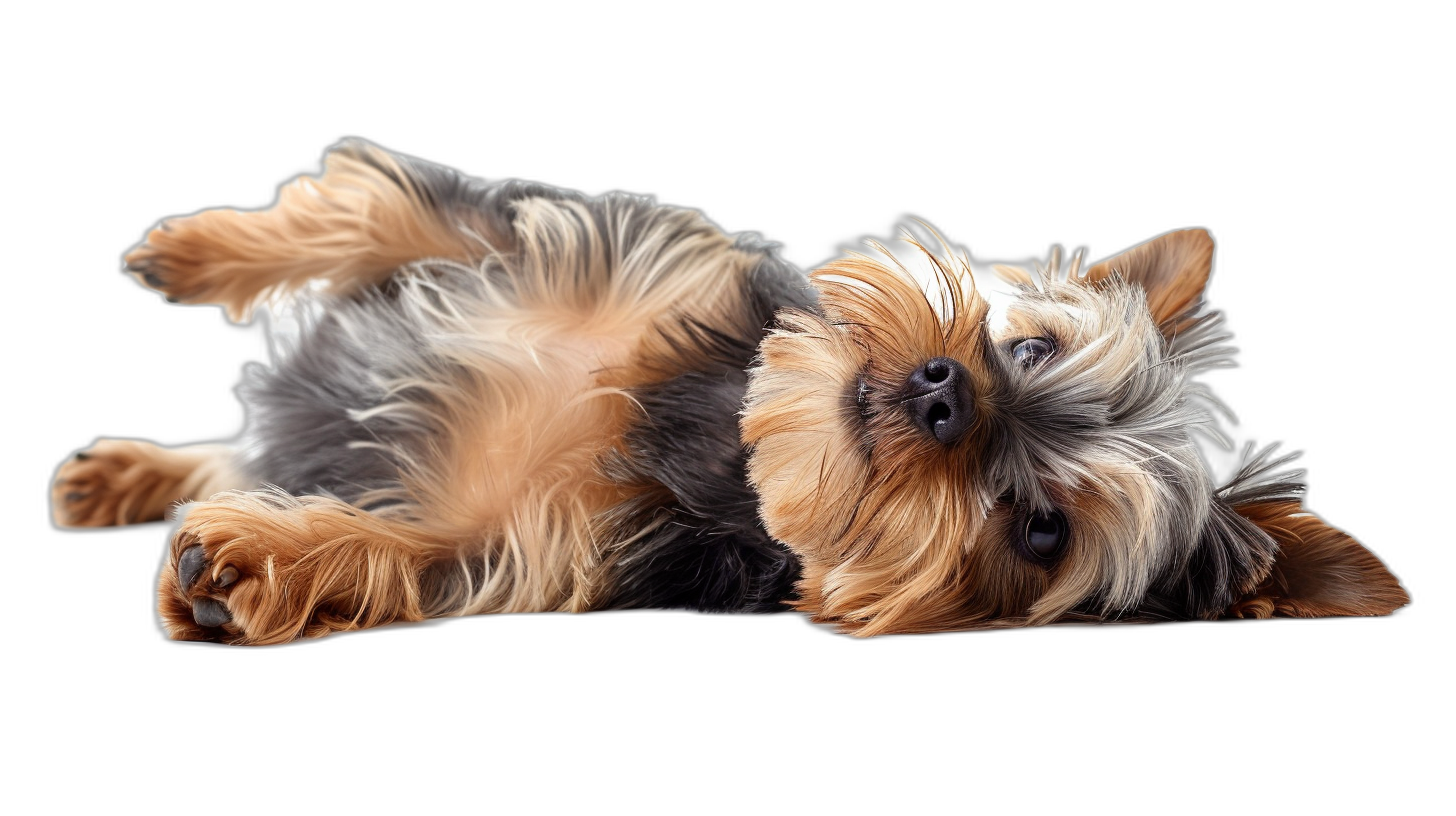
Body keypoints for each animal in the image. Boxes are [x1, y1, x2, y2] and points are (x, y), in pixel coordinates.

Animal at [51, 136, 1415, 644]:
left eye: (1042, 531)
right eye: (1030, 349)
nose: (944, 394)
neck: (726, 438)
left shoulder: (541, 548)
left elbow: (410, 549)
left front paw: (246, 568)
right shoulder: (569, 240)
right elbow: (383, 204)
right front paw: (191, 249)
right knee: (239, 442)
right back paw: (124, 471)